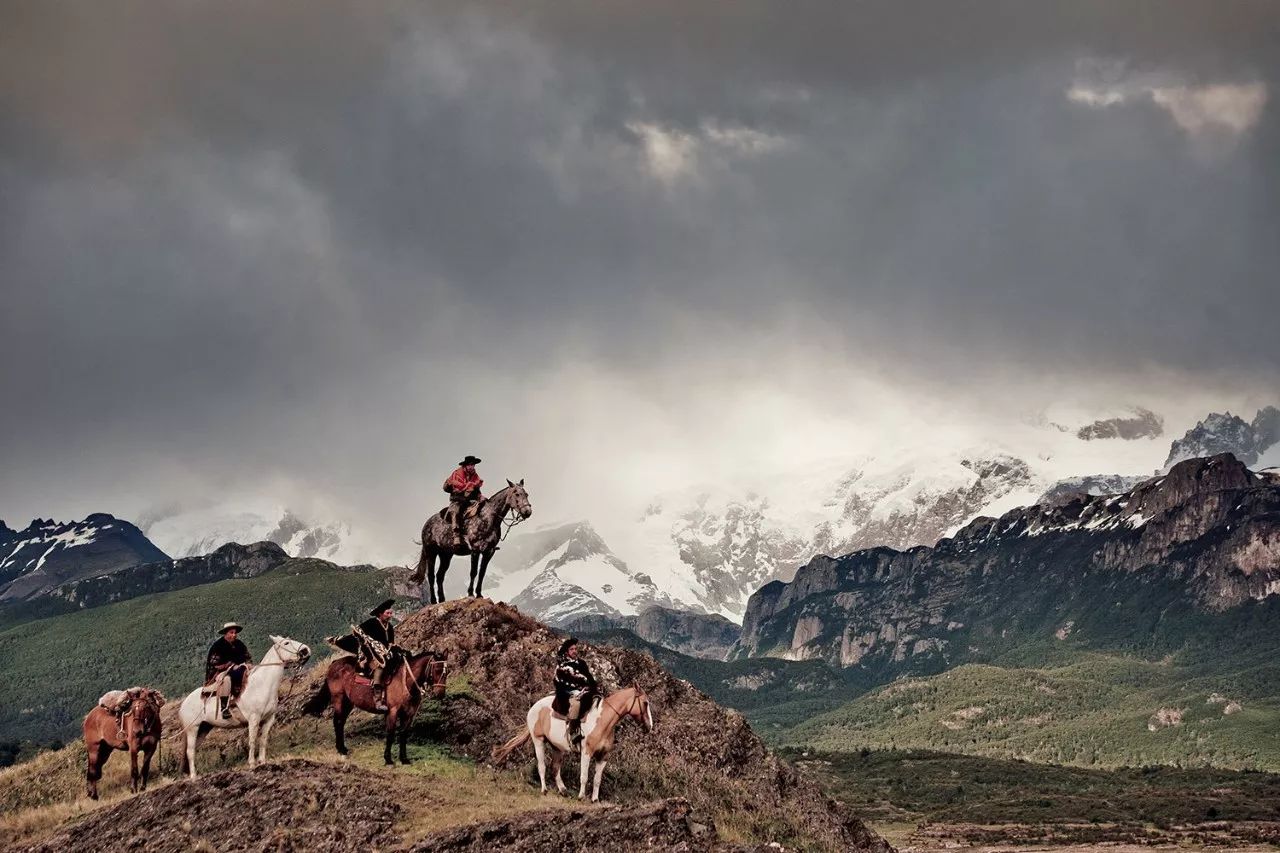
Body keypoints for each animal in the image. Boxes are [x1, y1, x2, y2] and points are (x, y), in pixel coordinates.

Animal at [177, 630, 309, 778]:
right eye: (286, 643)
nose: (305, 650)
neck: (262, 684)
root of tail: (184, 704)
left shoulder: (269, 719)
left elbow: (263, 740)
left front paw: (262, 762)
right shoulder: (254, 719)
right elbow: (252, 740)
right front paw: (252, 764)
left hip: (203, 729)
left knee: (193, 749)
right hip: (193, 729)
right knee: (190, 751)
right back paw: (194, 776)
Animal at [300, 650, 445, 763]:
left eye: (446, 672)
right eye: (437, 670)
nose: (440, 694)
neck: (406, 682)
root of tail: (334, 663)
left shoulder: (409, 715)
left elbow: (403, 735)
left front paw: (404, 759)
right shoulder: (392, 712)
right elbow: (390, 734)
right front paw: (388, 759)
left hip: (348, 702)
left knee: (341, 723)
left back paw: (343, 748)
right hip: (338, 699)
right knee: (338, 722)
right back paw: (341, 750)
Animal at [409, 473, 529, 601]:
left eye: (526, 494)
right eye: (516, 494)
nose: (528, 511)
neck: (488, 519)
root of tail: (427, 524)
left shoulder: (489, 551)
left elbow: (482, 573)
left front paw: (479, 594)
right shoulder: (475, 550)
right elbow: (473, 572)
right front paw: (471, 593)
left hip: (446, 555)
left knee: (440, 576)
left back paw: (442, 599)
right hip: (431, 552)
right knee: (431, 576)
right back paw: (433, 601)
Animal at [491, 681, 655, 799]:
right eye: (645, 703)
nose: (650, 726)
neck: (602, 721)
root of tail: (534, 707)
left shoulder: (603, 756)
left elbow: (597, 779)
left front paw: (595, 799)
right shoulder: (586, 753)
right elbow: (584, 776)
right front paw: (581, 797)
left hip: (557, 747)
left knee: (555, 767)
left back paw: (563, 790)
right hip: (538, 741)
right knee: (542, 766)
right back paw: (544, 790)